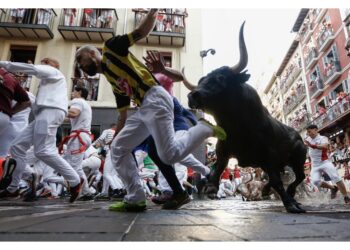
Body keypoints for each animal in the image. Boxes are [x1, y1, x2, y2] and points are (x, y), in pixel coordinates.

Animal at [186, 22, 306, 213]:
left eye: (220, 78)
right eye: (201, 81)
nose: (193, 95)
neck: (237, 126)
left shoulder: (270, 155)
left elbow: (278, 181)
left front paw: (290, 204)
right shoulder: (223, 150)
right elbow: (217, 168)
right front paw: (211, 188)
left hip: (298, 158)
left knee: (299, 176)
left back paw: (289, 195)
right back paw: (268, 190)